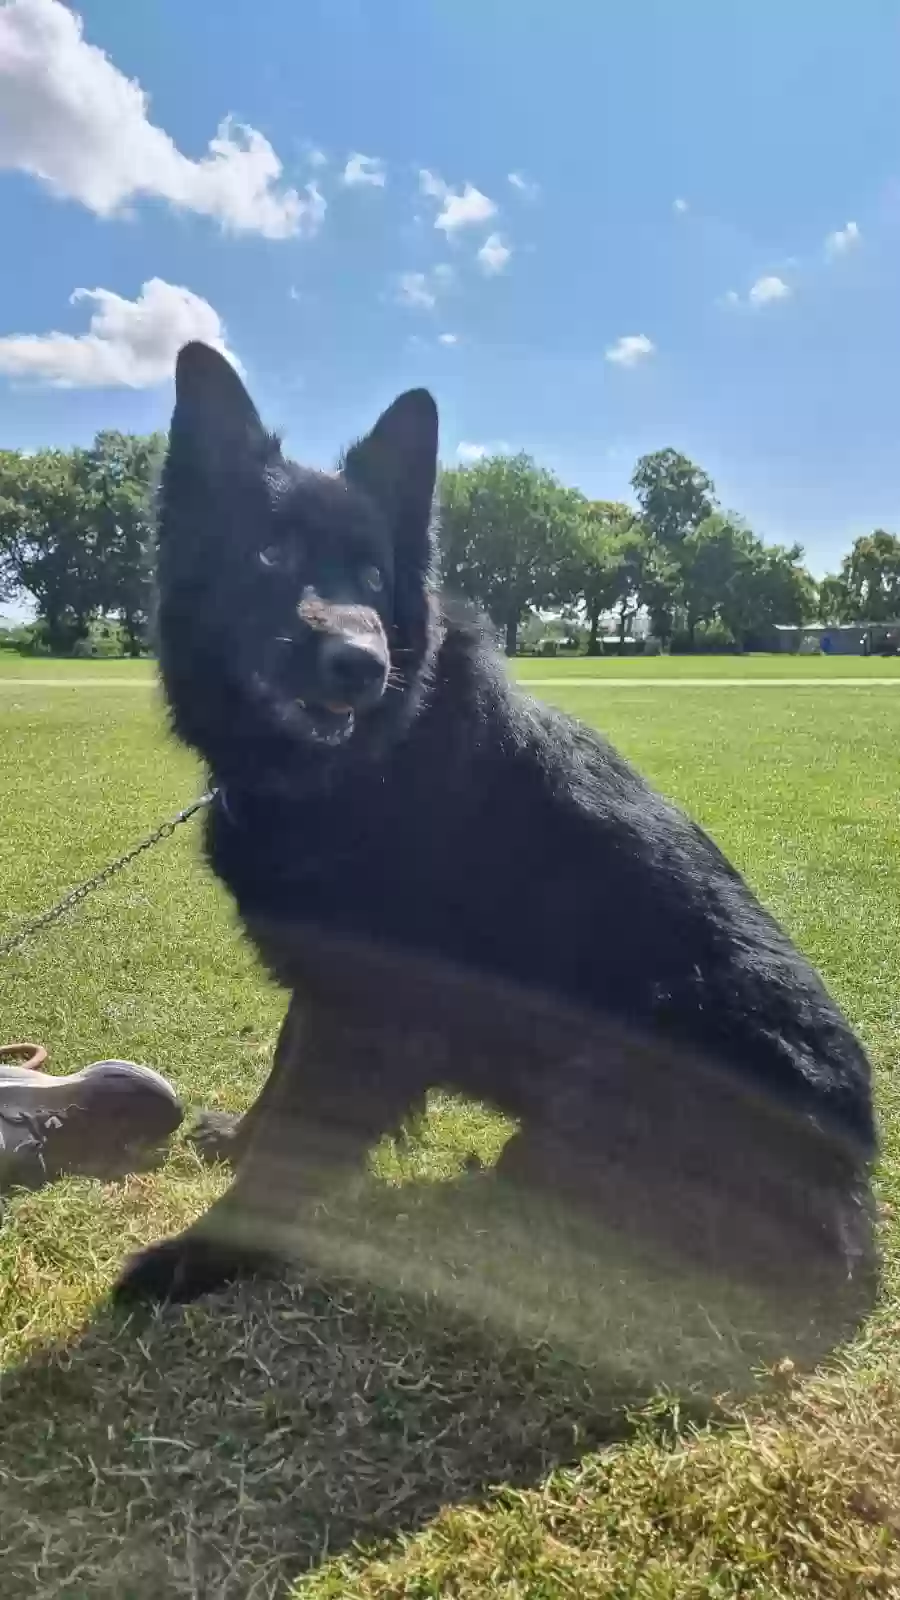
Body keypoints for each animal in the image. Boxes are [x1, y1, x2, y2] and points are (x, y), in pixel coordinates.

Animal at [112, 344, 877, 1356]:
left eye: (372, 573)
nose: (360, 665)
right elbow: (281, 1077)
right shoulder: (331, 984)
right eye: (270, 554)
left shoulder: (370, 1016)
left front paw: (203, 1256)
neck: (372, 763)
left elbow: (294, 1143)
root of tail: (862, 1212)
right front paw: (235, 1139)